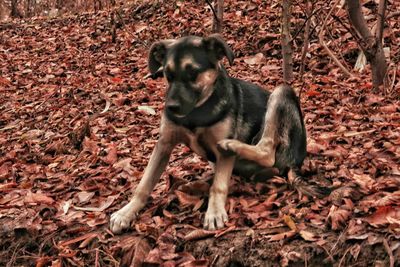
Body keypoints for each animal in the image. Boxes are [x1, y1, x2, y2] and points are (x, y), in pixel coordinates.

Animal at [109, 34, 328, 234]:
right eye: (168, 75)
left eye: (193, 73)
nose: (171, 108)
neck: (197, 113)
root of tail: (295, 163)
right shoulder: (164, 144)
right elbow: (144, 183)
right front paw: (126, 212)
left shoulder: (221, 153)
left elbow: (219, 186)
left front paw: (214, 213)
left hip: (281, 92)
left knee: (267, 152)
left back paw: (233, 146)